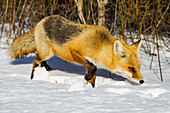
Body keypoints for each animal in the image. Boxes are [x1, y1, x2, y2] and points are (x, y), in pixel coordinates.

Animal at [7, 14, 143, 87]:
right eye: (131, 68)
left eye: (139, 67)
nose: (142, 81)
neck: (99, 47)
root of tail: (42, 20)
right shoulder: (74, 51)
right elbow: (93, 68)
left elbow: (93, 77)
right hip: (46, 53)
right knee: (35, 60)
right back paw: (33, 77)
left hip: (49, 53)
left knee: (40, 61)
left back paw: (47, 70)